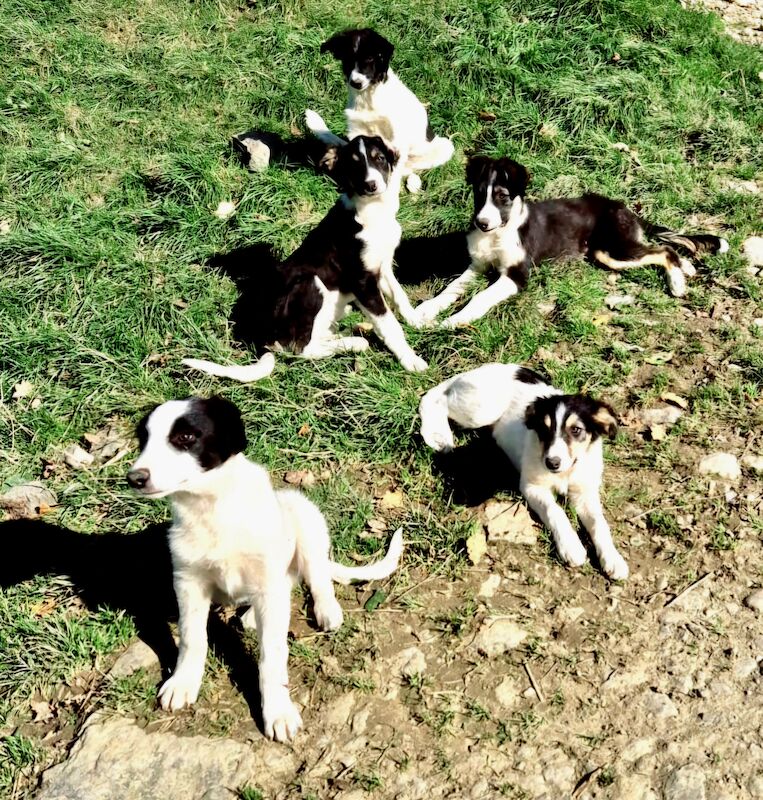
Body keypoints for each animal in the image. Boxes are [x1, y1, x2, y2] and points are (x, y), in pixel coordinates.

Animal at [129, 396, 406, 740]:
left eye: (185, 437)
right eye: (143, 440)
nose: (134, 478)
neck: (213, 509)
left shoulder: (267, 584)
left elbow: (271, 656)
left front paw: (278, 711)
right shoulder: (188, 581)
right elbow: (193, 637)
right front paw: (183, 682)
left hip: (305, 519)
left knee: (316, 577)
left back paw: (326, 609)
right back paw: (250, 617)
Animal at [182, 134, 426, 382]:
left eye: (379, 159)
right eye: (354, 165)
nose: (371, 185)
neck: (374, 212)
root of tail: (260, 337)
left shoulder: (381, 266)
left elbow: (400, 296)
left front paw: (417, 320)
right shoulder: (362, 280)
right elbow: (388, 323)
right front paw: (410, 360)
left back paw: (347, 335)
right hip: (311, 282)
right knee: (301, 348)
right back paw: (354, 342)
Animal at [306, 28, 454, 194]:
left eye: (370, 58)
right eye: (347, 58)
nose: (356, 83)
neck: (368, 98)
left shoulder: (397, 141)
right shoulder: (357, 132)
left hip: (445, 147)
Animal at [414, 155, 732, 326]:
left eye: (503, 196)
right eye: (480, 194)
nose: (481, 223)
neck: (498, 233)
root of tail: (627, 210)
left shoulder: (517, 275)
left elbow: (480, 297)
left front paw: (455, 320)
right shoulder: (478, 266)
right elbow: (452, 288)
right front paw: (426, 310)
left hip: (610, 250)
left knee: (664, 250)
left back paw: (677, 283)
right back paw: (687, 270)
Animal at [418, 364, 628, 580]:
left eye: (576, 430)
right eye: (543, 429)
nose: (552, 463)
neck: (565, 472)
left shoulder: (585, 493)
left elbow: (599, 523)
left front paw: (613, 558)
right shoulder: (531, 486)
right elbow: (555, 511)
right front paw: (570, 545)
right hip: (482, 410)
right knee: (435, 398)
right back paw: (439, 436)